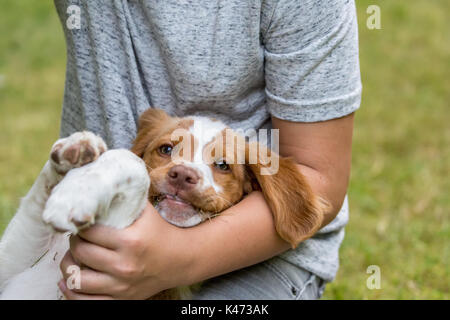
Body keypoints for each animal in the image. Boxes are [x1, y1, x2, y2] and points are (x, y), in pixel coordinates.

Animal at [0, 108, 326, 300]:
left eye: (223, 165)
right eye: (166, 149)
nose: (182, 175)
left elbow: (134, 166)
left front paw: (75, 194)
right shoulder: (11, 260)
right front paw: (77, 149)